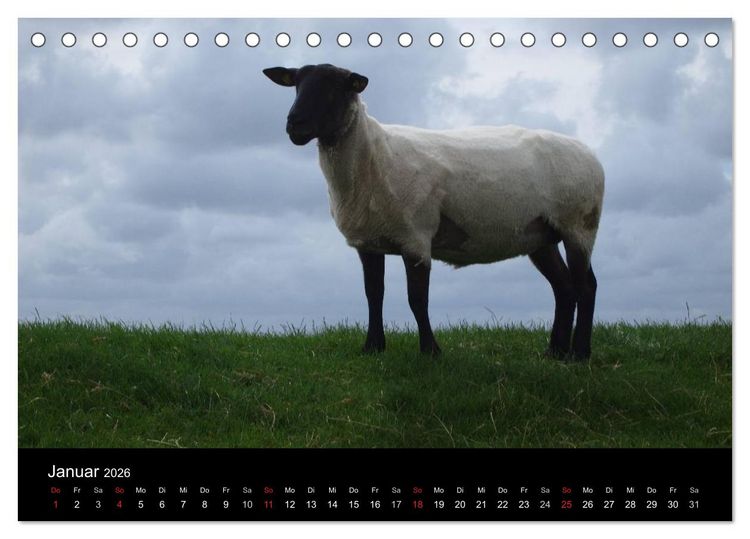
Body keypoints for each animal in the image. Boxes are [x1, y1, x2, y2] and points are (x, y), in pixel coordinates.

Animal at [263, 63, 604, 360]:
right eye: (296, 85)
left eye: (336, 88)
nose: (294, 124)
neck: (374, 155)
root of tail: (589, 152)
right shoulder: (369, 242)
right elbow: (374, 294)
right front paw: (373, 347)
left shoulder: (416, 236)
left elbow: (417, 299)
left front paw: (430, 351)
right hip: (540, 234)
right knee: (564, 288)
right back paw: (555, 352)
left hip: (579, 223)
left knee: (585, 287)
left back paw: (579, 353)